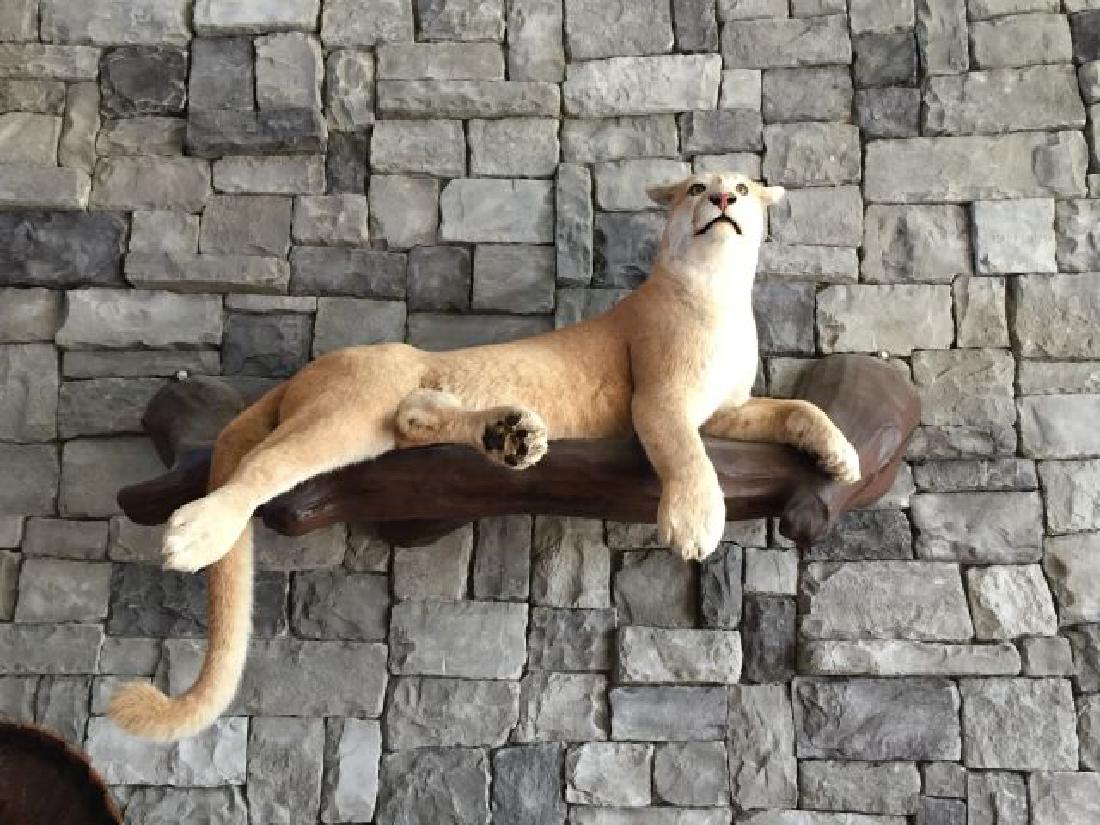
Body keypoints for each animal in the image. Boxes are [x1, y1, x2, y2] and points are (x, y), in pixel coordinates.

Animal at [109, 173, 860, 740]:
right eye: (698, 186)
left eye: (743, 185)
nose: (725, 200)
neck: (718, 290)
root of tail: (306, 370)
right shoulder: (661, 402)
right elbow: (687, 455)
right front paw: (695, 523)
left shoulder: (729, 407)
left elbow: (800, 407)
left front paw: (841, 456)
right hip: (347, 413)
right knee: (263, 467)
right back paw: (196, 533)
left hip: (380, 416)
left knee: (414, 417)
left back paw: (510, 435)